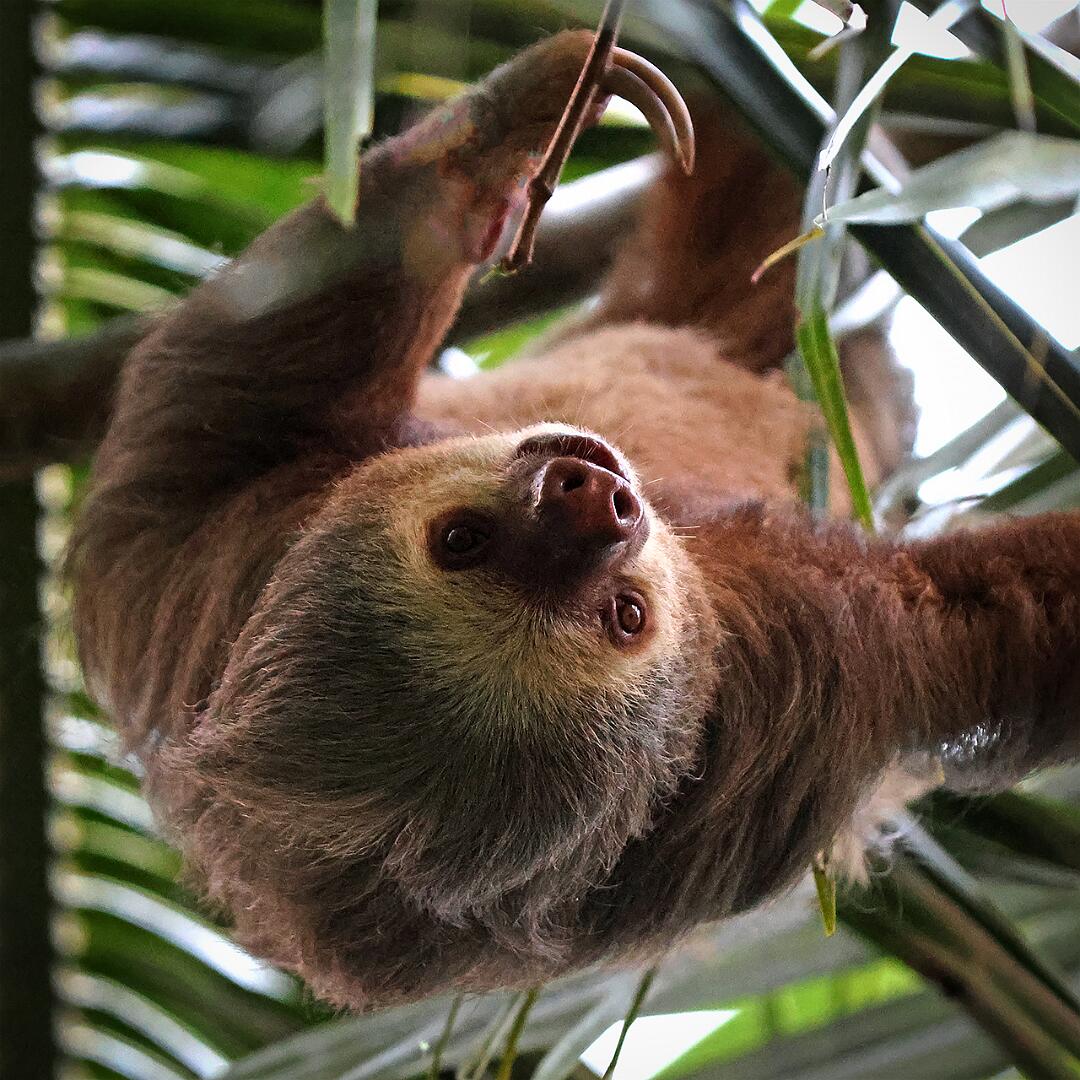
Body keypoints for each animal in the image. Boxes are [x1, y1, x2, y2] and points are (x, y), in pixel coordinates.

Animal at [68, 30, 1080, 1011]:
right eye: (624, 617)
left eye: (459, 543)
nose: (590, 500)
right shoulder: (814, 656)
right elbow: (1002, 600)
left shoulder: (201, 573)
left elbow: (217, 396)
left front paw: (512, 117)